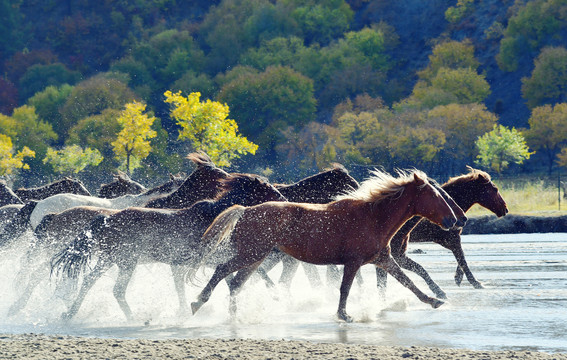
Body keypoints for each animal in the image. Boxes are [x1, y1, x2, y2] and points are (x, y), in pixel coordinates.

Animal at [50, 174, 286, 320]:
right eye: (267, 187)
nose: (284, 199)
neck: (214, 214)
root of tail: (107, 219)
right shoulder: (207, 258)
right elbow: (245, 274)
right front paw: (276, 295)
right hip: (126, 262)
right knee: (116, 290)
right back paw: (134, 318)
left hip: (109, 260)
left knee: (89, 281)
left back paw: (69, 314)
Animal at [190, 168, 458, 320]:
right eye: (435, 195)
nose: (454, 221)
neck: (374, 216)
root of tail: (245, 211)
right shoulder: (353, 262)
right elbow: (345, 288)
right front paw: (343, 315)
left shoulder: (382, 259)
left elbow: (408, 281)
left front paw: (435, 300)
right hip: (251, 254)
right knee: (222, 271)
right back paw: (197, 303)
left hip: (256, 257)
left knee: (235, 283)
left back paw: (234, 315)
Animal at [374, 166, 508, 298]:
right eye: (495, 189)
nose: (505, 209)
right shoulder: (450, 239)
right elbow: (462, 259)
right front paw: (475, 282)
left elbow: (461, 258)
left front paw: (458, 278)